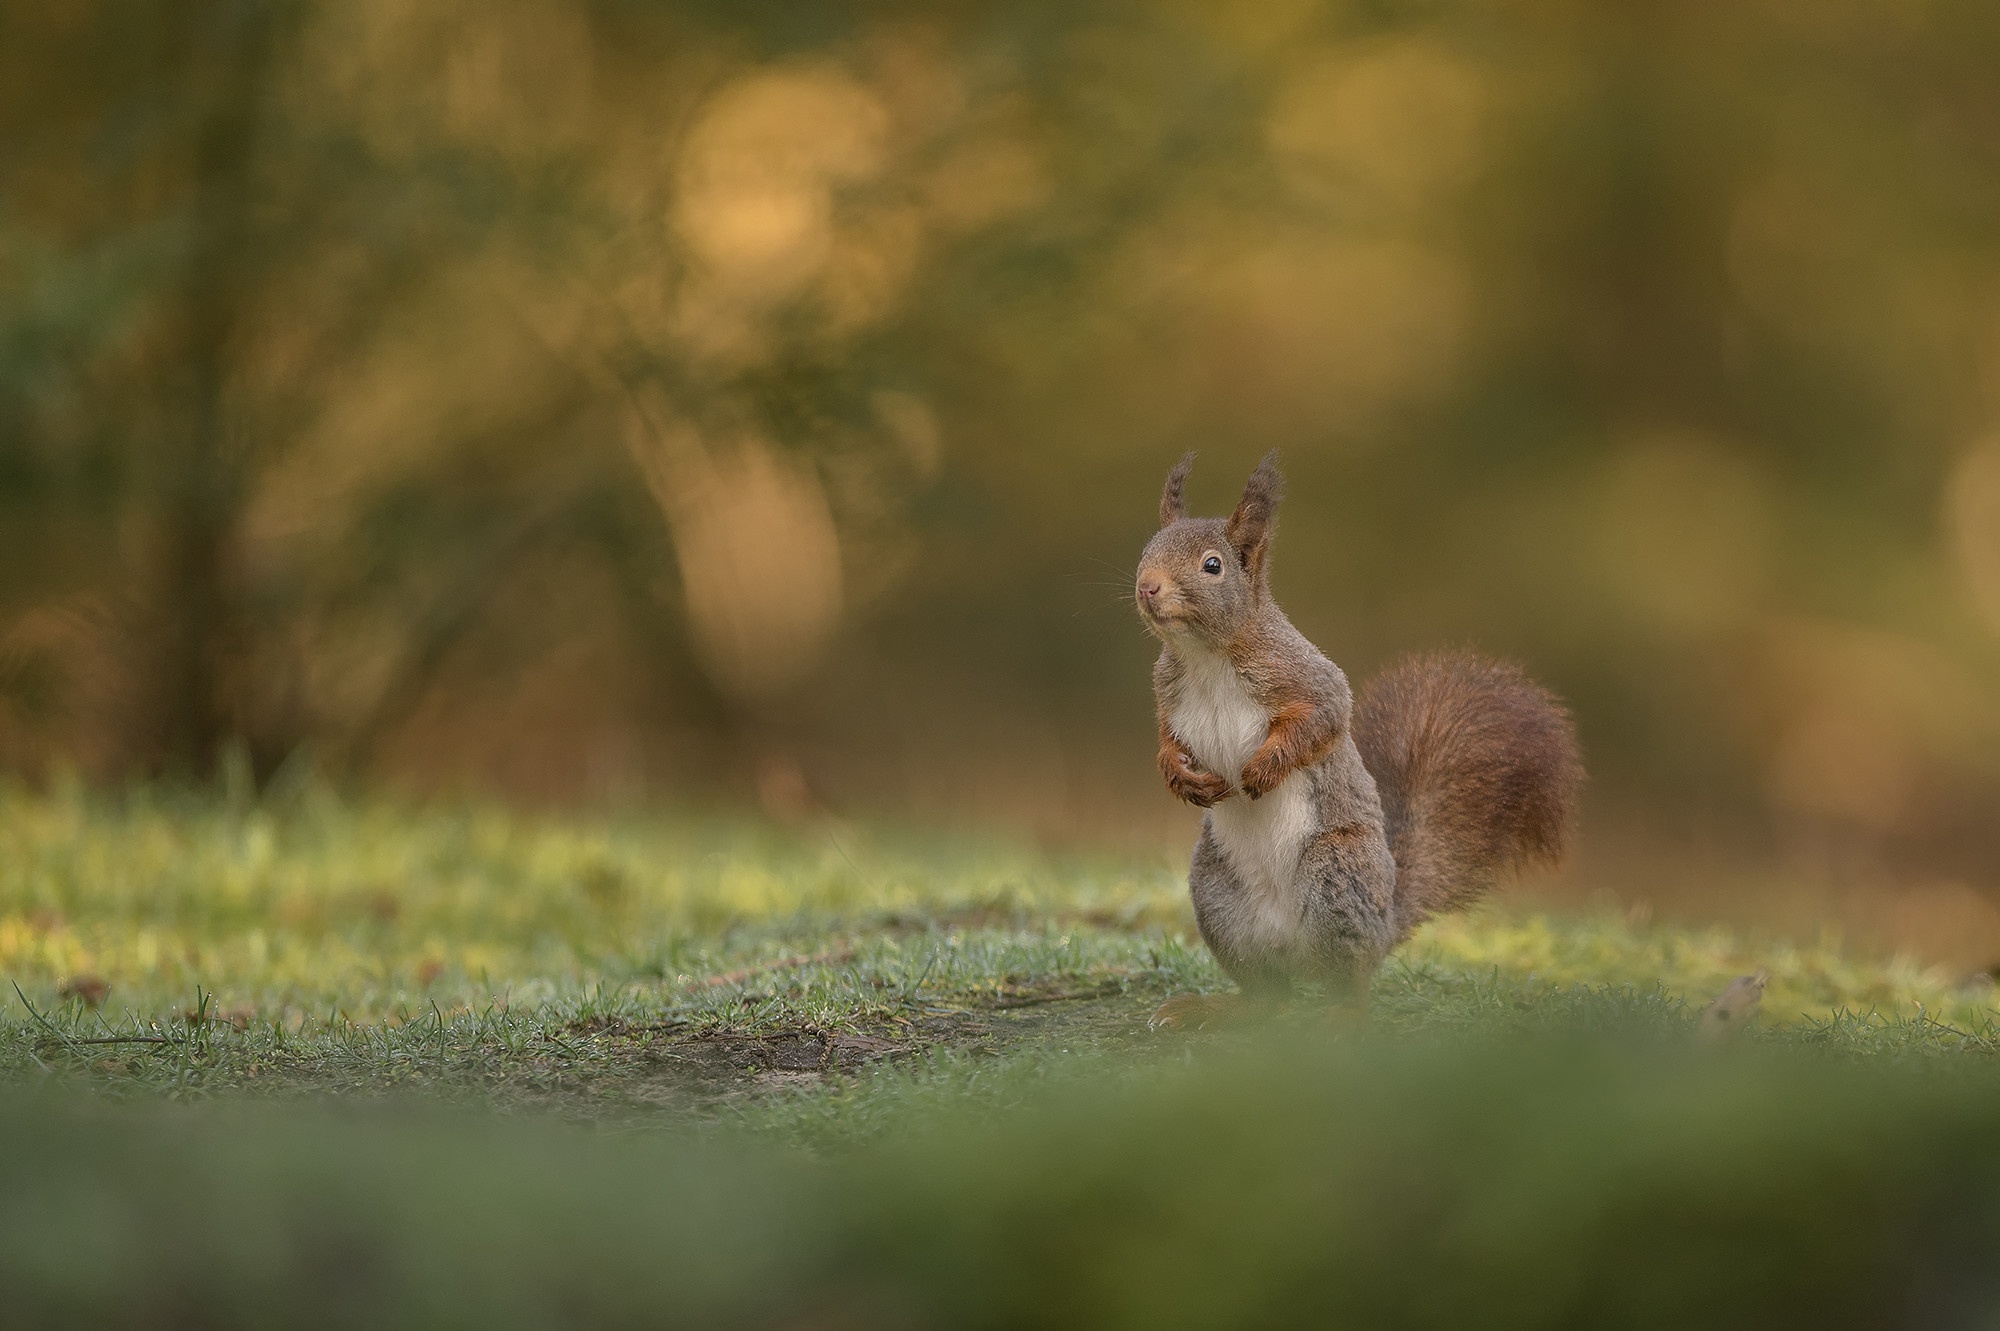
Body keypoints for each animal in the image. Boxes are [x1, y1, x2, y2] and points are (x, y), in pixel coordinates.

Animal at [1144, 451, 1576, 1019]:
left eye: (1212, 565)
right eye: (1146, 549)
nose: (1147, 586)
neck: (1205, 656)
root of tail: (1385, 919)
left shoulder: (1309, 679)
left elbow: (1321, 721)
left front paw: (1263, 768)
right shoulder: (1167, 696)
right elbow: (1167, 742)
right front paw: (1181, 777)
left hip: (1334, 874)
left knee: (1347, 981)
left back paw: (1336, 1015)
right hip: (1219, 895)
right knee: (1268, 995)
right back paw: (1218, 1010)